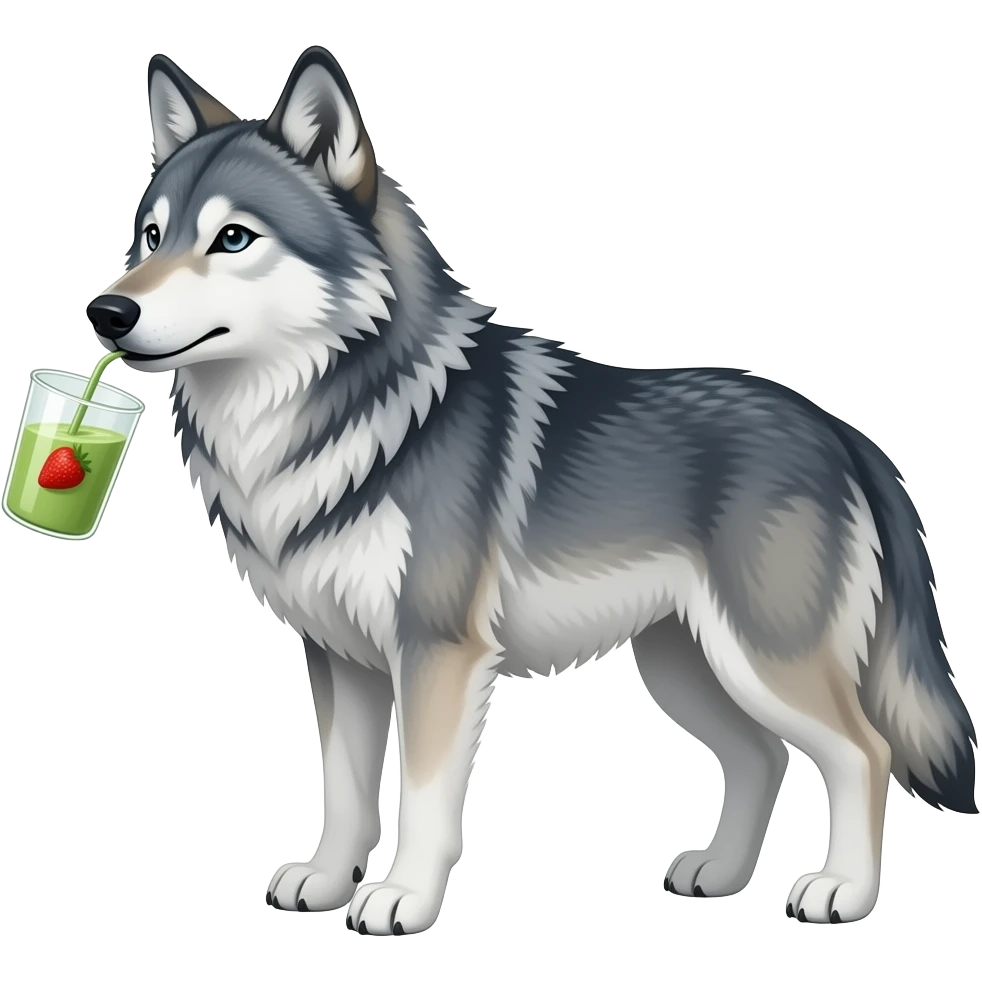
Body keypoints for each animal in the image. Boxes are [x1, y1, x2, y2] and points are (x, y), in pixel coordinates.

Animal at [85, 46, 977, 933]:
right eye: (152, 236)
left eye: (233, 238)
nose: (107, 311)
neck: (325, 419)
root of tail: (844, 433)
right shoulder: (340, 657)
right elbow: (344, 789)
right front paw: (328, 881)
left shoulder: (436, 652)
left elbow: (421, 794)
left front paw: (403, 899)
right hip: (685, 666)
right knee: (763, 756)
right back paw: (719, 874)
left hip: (761, 659)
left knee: (864, 751)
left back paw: (842, 891)